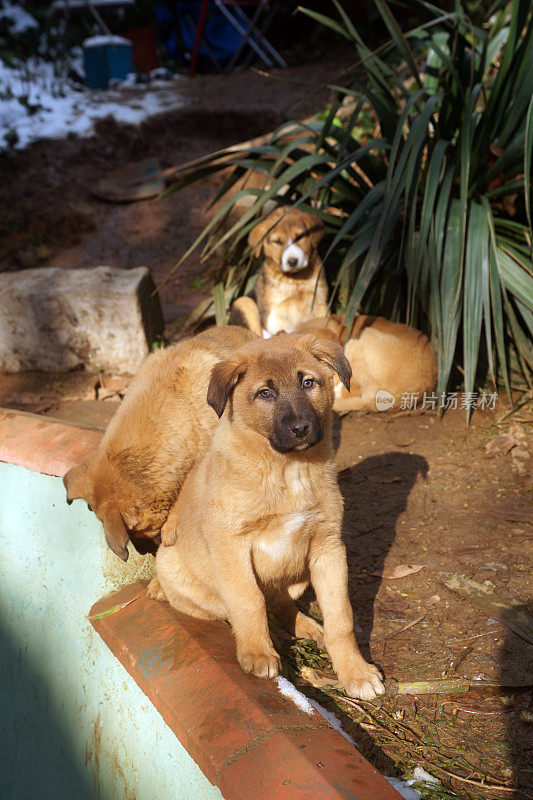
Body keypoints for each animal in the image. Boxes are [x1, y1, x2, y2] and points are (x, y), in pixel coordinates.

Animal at [148, 332, 384, 700]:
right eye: (265, 393)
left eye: (308, 382)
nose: (301, 428)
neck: (287, 469)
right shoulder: (231, 546)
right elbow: (249, 601)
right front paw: (258, 652)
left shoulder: (329, 547)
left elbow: (341, 617)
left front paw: (354, 671)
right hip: (174, 564)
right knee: (234, 607)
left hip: (299, 576)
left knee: (282, 603)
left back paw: (307, 627)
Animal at [245, 208, 328, 336]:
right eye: (278, 242)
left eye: (300, 237)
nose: (292, 261)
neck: (296, 279)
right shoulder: (275, 311)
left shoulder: (319, 300)